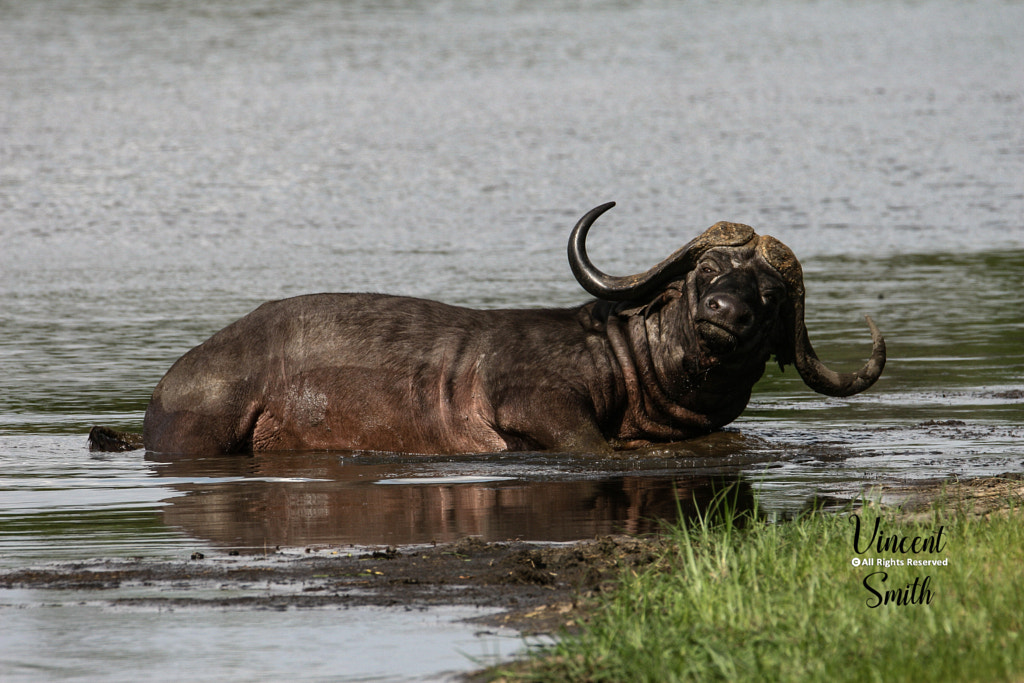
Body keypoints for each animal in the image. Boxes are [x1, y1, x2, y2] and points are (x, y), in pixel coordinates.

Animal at [92, 204, 884, 458]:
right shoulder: (533, 406)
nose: (727, 313)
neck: (631, 362)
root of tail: (173, 380)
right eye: (708, 271)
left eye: (770, 294)